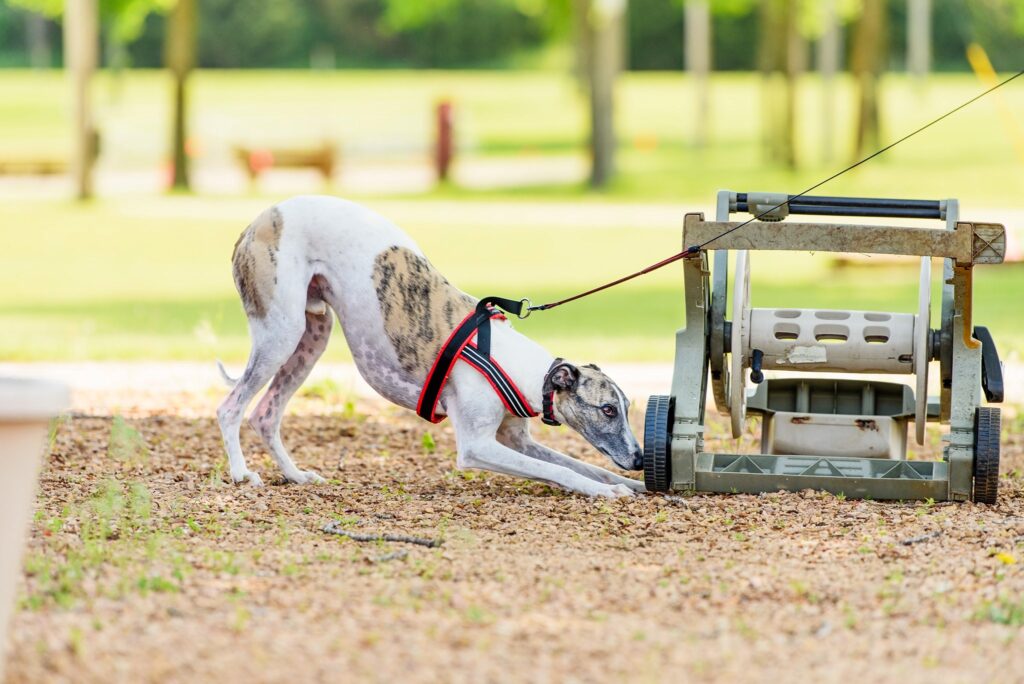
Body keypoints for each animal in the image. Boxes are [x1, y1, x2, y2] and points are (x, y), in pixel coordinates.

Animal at [219, 194, 643, 499]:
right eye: (607, 409)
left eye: (625, 408)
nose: (640, 459)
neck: (515, 365)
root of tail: (259, 219)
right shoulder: (476, 446)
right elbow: (559, 469)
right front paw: (608, 491)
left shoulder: (516, 439)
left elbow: (581, 465)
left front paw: (632, 485)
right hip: (281, 333)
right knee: (230, 408)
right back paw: (241, 473)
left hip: (312, 338)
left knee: (265, 415)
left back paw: (296, 476)